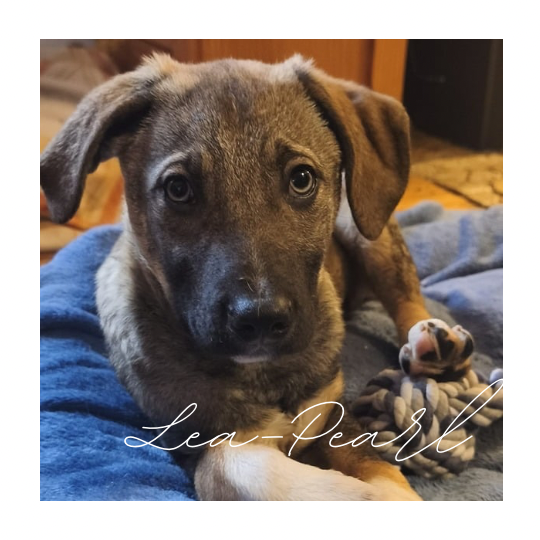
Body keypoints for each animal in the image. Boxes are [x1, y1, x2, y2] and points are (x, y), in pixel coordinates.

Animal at [40, 54, 475, 500]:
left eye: (301, 179)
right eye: (178, 189)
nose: (261, 320)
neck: (260, 373)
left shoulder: (332, 411)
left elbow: (378, 467)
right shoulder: (198, 441)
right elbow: (241, 463)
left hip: (369, 232)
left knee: (406, 296)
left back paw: (434, 344)